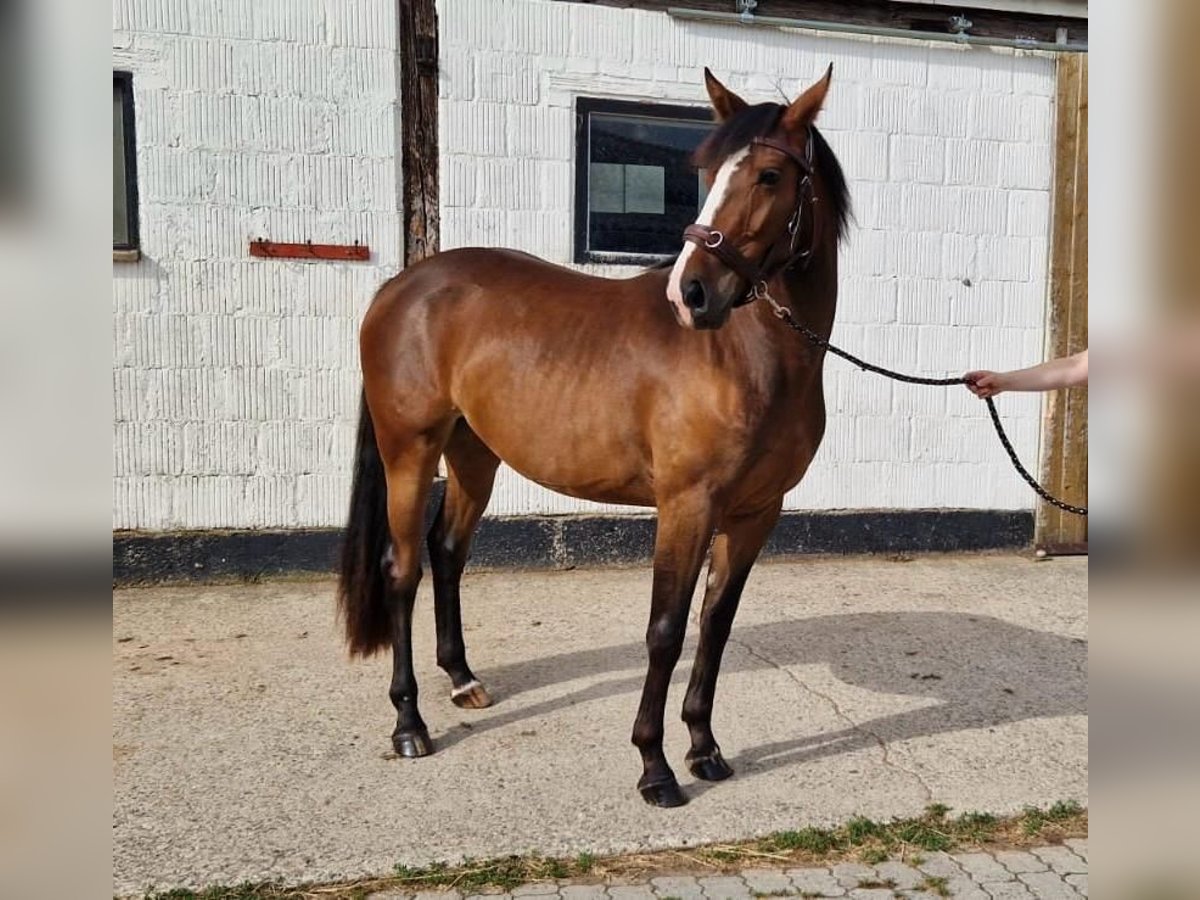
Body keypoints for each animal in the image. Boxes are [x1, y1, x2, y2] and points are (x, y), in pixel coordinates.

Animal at [333, 66, 849, 806]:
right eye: (707, 170)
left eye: (771, 175)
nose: (691, 293)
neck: (747, 355)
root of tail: (400, 287)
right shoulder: (687, 506)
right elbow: (665, 631)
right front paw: (655, 766)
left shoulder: (755, 514)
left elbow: (714, 627)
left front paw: (705, 748)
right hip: (410, 449)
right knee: (402, 569)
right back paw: (409, 725)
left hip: (474, 453)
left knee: (447, 550)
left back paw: (462, 680)